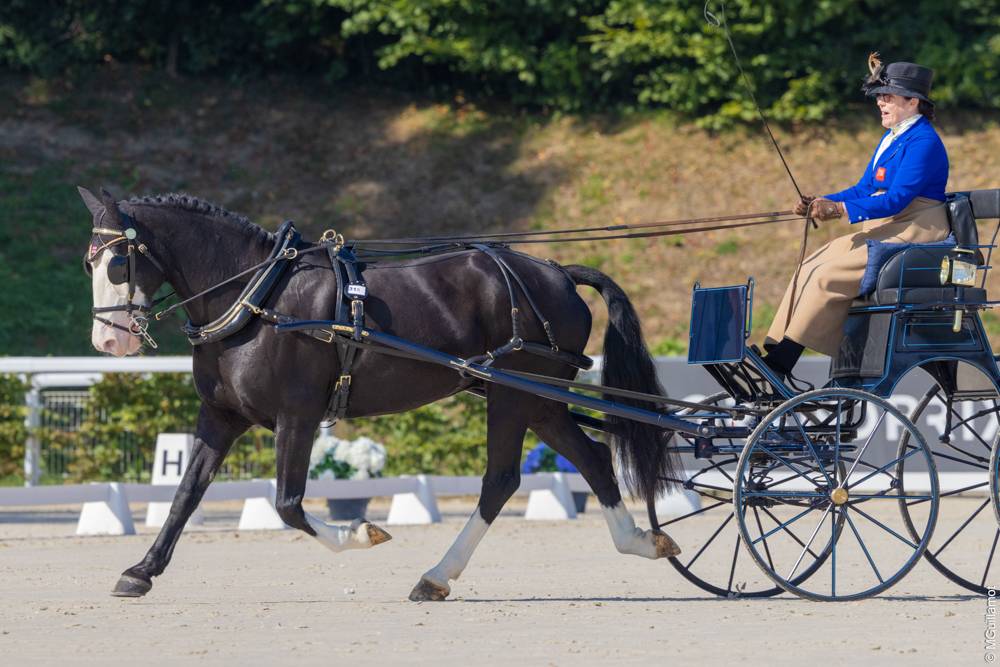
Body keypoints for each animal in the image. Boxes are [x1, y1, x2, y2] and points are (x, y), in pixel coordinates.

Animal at [79, 186, 681, 601]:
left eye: (118, 261)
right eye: (89, 261)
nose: (108, 340)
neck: (258, 297)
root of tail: (555, 271)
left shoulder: (297, 417)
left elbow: (288, 505)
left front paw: (361, 533)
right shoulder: (221, 416)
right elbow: (185, 494)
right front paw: (140, 572)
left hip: (515, 395)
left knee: (502, 479)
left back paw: (438, 574)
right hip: (536, 398)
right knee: (593, 458)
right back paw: (638, 541)